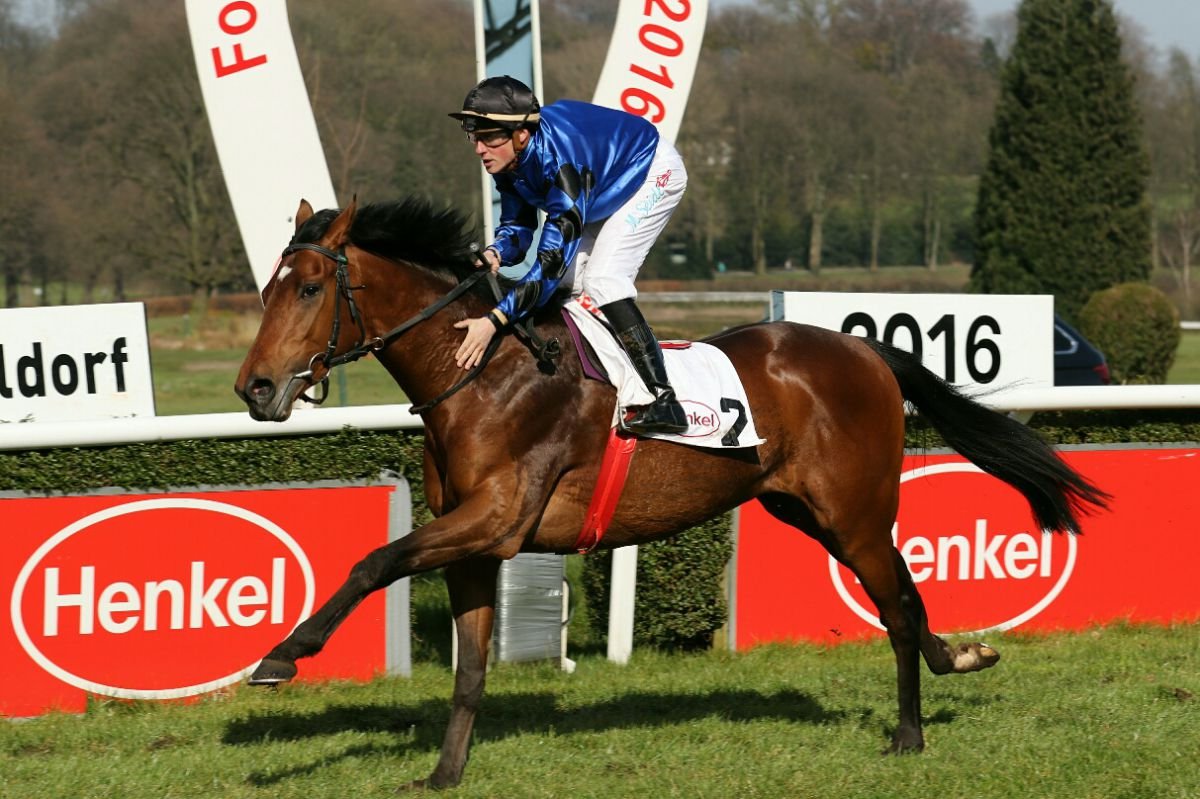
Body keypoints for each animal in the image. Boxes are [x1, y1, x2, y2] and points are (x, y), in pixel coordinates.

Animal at [235, 197, 1108, 791]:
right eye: (270, 288)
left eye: (307, 288)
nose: (256, 387)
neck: (481, 371)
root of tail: (862, 349)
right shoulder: (472, 541)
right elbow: (471, 666)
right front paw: (445, 774)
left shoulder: (497, 519)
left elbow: (374, 560)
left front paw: (281, 655)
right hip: (811, 509)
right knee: (906, 587)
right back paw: (961, 653)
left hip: (852, 511)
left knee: (894, 604)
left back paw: (909, 733)